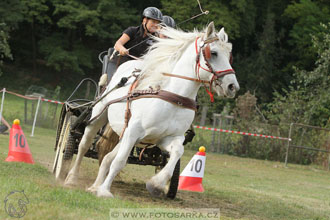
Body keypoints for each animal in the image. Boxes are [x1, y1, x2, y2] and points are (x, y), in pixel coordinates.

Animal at [63, 21, 240, 198]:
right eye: (213, 53)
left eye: (229, 56)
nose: (233, 87)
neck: (174, 97)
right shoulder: (134, 131)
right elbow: (119, 161)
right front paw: (105, 191)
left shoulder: (167, 138)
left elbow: (177, 152)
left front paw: (157, 184)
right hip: (99, 117)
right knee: (84, 145)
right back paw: (71, 178)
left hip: (125, 133)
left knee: (107, 157)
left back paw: (95, 186)